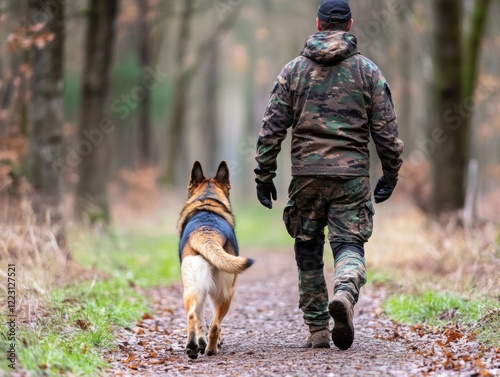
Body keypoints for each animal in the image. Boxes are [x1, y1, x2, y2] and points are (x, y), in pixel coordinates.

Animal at [178, 159, 254, 358]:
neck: (207, 204)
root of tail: (207, 232)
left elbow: (200, 320)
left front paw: (199, 343)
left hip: (192, 288)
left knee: (192, 315)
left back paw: (192, 347)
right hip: (225, 293)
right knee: (215, 324)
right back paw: (211, 349)